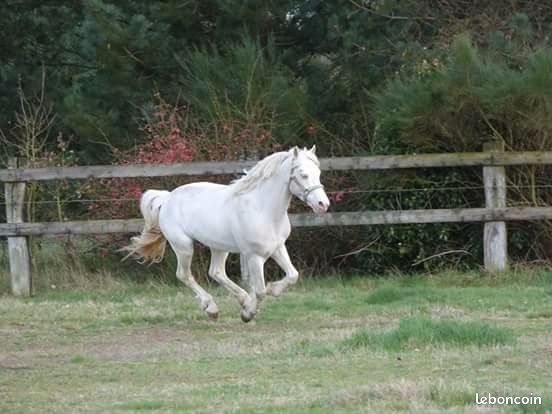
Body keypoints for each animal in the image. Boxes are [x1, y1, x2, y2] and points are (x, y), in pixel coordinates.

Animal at [123, 145, 330, 320]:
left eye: (318, 173)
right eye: (303, 175)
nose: (323, 204)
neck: (263, 209)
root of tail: (167, 198)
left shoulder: (277, 247)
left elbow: (293, 275)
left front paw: (271, 291)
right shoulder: (254, 256)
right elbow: (260, 290)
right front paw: (248, 314)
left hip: (219, 247)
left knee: (216, 272)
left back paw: (242, 299)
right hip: (183, 246)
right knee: (184, 274)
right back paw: (212, 308)